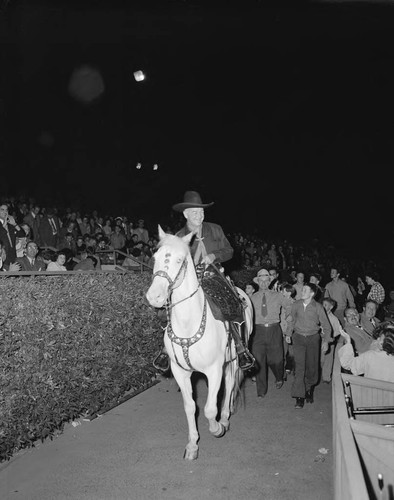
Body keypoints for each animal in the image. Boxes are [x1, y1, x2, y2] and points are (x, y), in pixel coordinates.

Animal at [145, 227, 252, 460]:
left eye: (179, 260)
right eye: (155, 257)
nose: (155, 296)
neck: (189, 323)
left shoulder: (214, 370)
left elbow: (210, 409)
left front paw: (217, 428)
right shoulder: (180, 372)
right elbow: (190, 407)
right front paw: (193, 444)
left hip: (234, 360)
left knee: (230, 384)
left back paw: (225, 418)